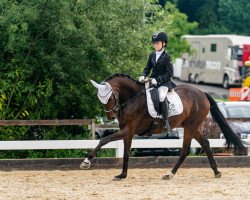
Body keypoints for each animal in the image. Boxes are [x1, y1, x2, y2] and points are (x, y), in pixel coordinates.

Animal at [79, 73, 246, 180]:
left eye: (109, 97)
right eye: (100, 99)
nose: (110, 116)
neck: (132, 98)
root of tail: (201, 92)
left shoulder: (128, 130)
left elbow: (103, 140)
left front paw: (86, 162)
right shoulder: (128, 132)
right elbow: (125, 153)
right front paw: (122, 175)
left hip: (190, 127)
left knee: (186, 150)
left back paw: (170, 174)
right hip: (193, 126)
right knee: (205, 144)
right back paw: (216, 171)